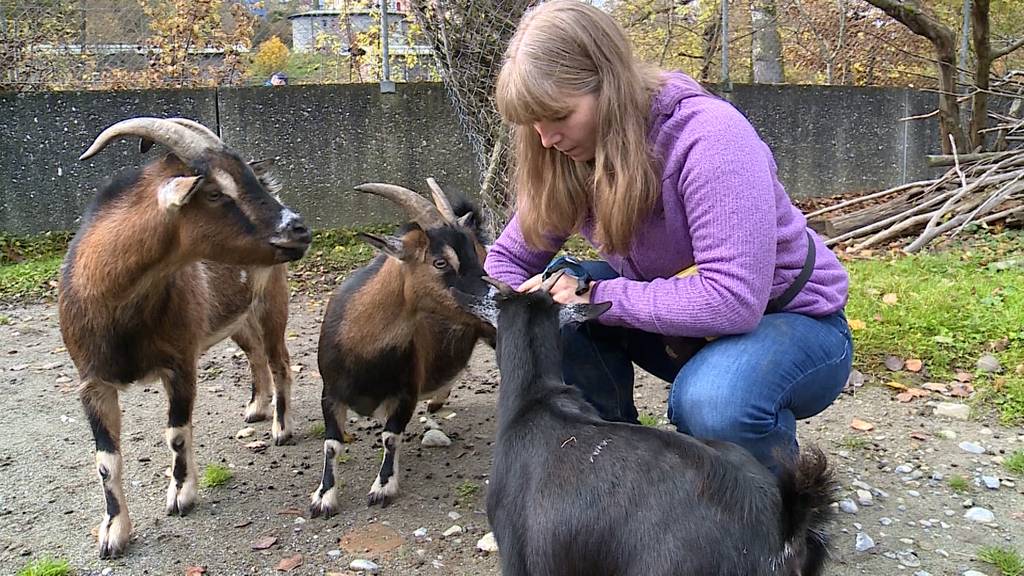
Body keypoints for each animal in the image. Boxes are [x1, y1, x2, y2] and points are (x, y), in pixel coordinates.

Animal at [56, 116, 309, 557]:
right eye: (214, 192)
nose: (299, 229)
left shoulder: (180, 362)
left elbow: (176, 435)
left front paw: (181, 496)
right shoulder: (92, 381)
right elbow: (106, 460)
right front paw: (113, 532)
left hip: (272, 303)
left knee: (280, 361)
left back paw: (280, 427)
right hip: (235, 320)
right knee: (255, 356)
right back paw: (256, 408)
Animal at [307, 178, 491, 510]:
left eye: (473, 254)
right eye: (440, 262)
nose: (497, 294)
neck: (364, 349)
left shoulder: (406, 392)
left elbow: (390, 437)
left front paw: (383, 487)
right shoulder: (330, 393)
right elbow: (331, 443)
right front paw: (324, 496)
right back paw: (438, 400)